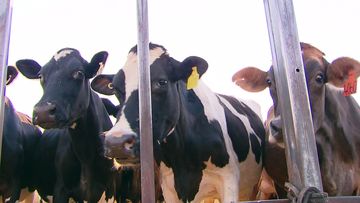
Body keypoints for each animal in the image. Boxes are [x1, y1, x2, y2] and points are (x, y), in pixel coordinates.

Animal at [15, 48, 116, 202]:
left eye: (79, 73)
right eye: (41, 76)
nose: (43, 111)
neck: (86, 154)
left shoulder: (109, 191)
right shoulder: (61, 189)